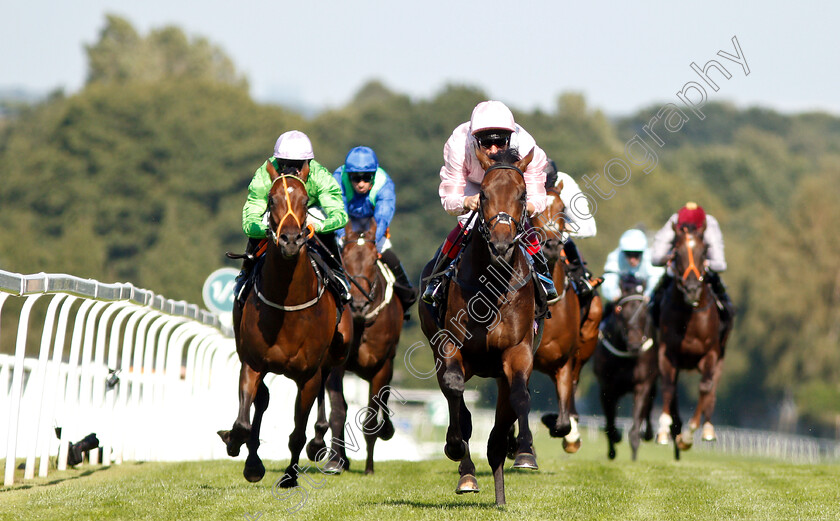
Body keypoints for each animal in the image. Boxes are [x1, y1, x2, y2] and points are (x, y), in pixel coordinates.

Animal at [218, 161, 352, 484]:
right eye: (270, 200)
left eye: (305, 201)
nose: (291, 240)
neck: (287, 306)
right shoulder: (253, 363)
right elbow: (244, 421)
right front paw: (239, 448)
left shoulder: (308, 375)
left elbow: (297, 433)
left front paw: (290, 477)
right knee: (263, 401)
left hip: (337, 353)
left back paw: (318, 444)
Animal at [306, 219, 404, 476]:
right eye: (345, 261)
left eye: (372, 261)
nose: (358, 306)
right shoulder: (337, 365)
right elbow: (339, 411)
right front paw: (334, 460)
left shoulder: (382, 367)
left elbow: (370, 419)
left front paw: (369, 467)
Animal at [418, 145, 540, 504]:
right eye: (483, 194)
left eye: (522, 193)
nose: (501, 244)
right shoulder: (451, 346)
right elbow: (455, 390)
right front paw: (455, 448)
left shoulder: (517, 351)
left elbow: (520, 396)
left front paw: (524, 451)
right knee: (458, 402)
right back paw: (468, 471)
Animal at [592, 272, 660, 460]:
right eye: (620, 310)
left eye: (644, 310)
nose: (635, 344)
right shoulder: (607, 386)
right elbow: (610, 423)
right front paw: (614, 444)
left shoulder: (642, 384)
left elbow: (636, 424)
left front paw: (635, 449)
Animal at [656, 222, 728, 460]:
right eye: (676, 253)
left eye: (704, 252)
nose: (692, 289)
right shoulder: (667, 352)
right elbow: (669, 386)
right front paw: (664, 430)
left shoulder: (711, 353)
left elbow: (705, 387)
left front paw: (689, 435)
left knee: (712, 388)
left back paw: (707, 430)